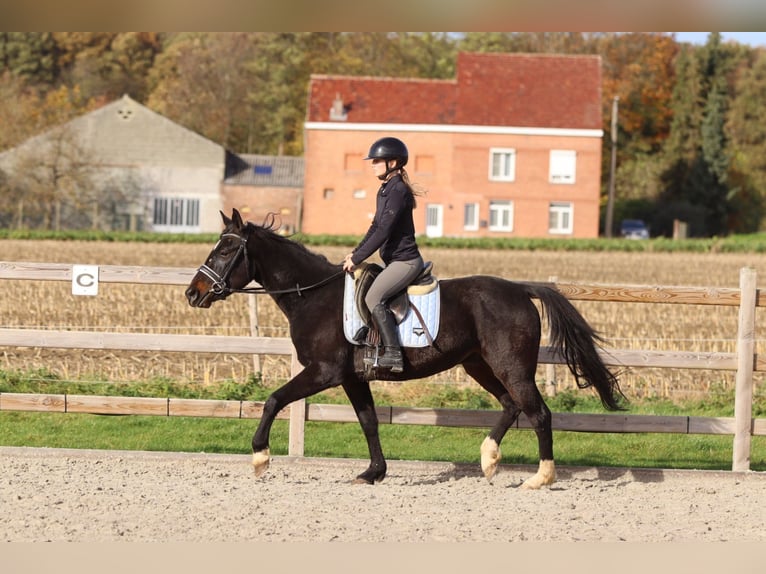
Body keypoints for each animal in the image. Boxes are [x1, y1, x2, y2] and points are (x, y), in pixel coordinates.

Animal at [185, 209, 625, 489]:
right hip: (479, 365)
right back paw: (488, 459)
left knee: (538, 413)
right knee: (511, 406)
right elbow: (368, 422)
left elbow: (274, 400)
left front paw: (260, 457)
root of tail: (520, 290)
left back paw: (541, 478)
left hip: (510, 366)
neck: (313, 295)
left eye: (225, 251)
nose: (193, 292)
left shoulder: (323, 372)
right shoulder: (351, 378)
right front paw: (373, 473)